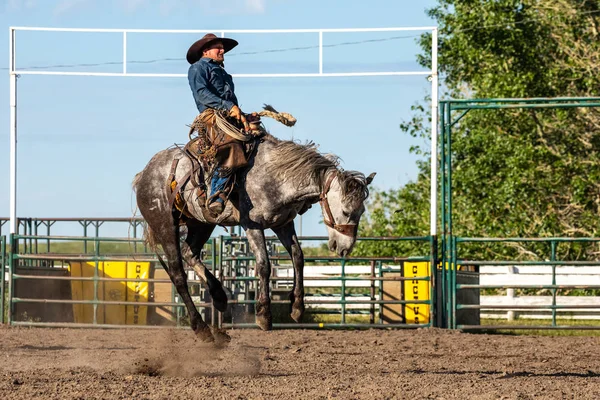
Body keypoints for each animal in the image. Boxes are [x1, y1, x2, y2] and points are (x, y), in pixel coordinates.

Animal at [134, 134, 372, 340]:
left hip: (201, 223)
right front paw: (264, 315)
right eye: (346, 211)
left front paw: (297, 307)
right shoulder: (252, 224)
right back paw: (201, 328)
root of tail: (144, 174)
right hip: (165, 225)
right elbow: (264, 264)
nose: (345, 247)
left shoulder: (283, 224)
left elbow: (298, 257)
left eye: (361, 212)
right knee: (178, 273)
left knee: (189, 253)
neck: (276, 175)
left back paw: (219, 296)